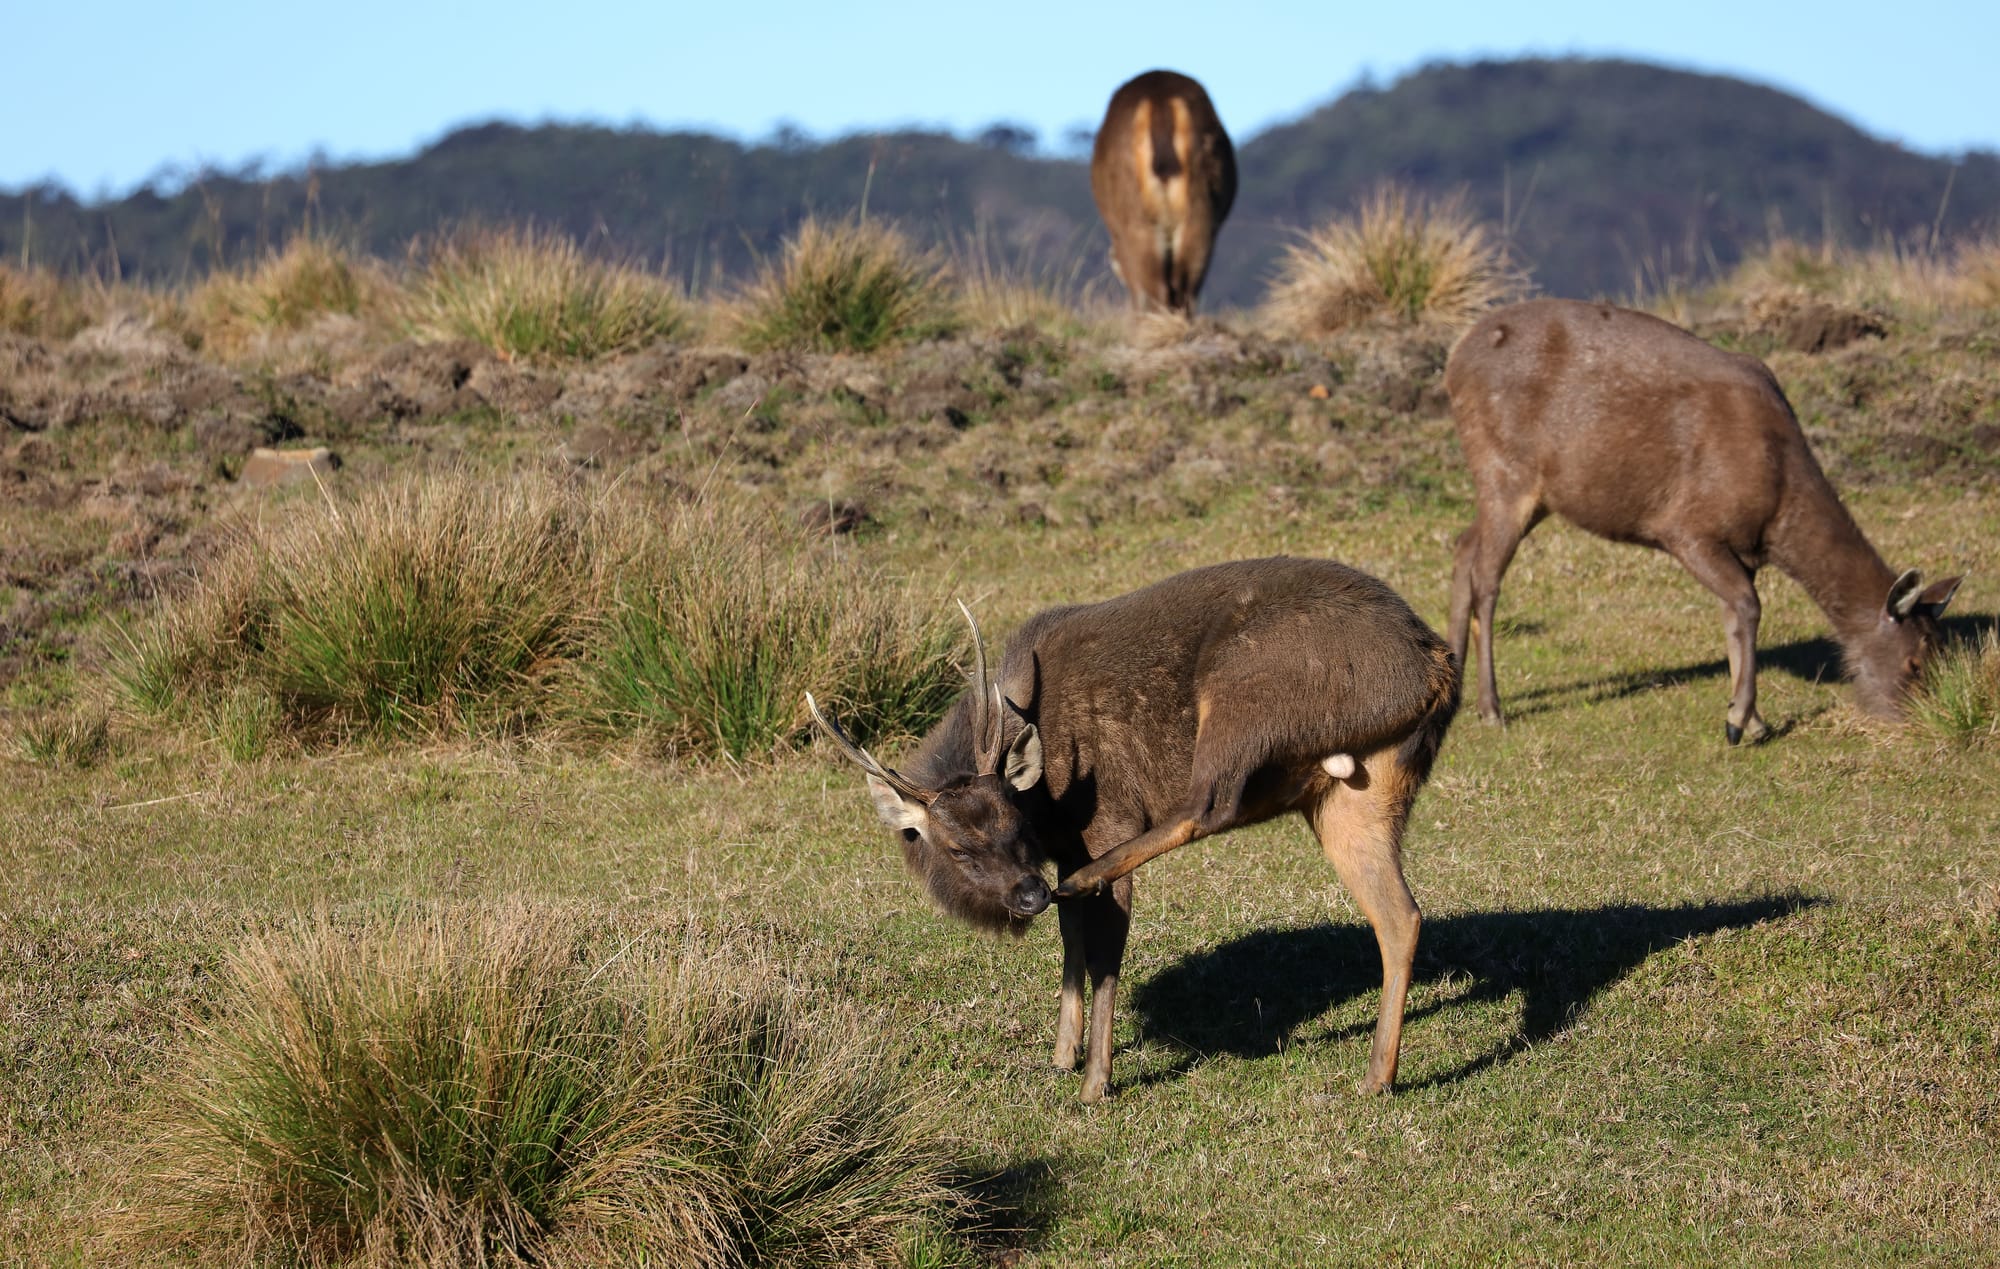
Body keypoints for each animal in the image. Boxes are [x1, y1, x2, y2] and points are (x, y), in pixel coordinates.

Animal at [804, 552, 1464, 1096]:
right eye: (959, 849)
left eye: (1013, 820)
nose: (1027, 893)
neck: (1049, 801)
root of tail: (1436, 669)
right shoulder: (1063, 848)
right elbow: (1071, 943)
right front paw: (1060, 1056)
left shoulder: (1105, 820)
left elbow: (1106, 953)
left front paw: (1095, 1080)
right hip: (1359, 791)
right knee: (1400, 915)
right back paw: (1377, 1077)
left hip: (1241, 695)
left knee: (1211, 804)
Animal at [1448, 298, 1960, 740]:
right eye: (1915, 663)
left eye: (1943, 653)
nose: (1919, 721)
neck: (1777, 508)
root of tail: (1455, 357)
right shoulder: (1686, 528)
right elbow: (1749, 606)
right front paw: (1738, 721)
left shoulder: (1741, 550)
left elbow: (1734, 616)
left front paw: (1752, 719)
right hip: (1505, 471)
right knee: (1486, 577)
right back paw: (1491, 708)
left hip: (1530, 493)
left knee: (1464, 546)